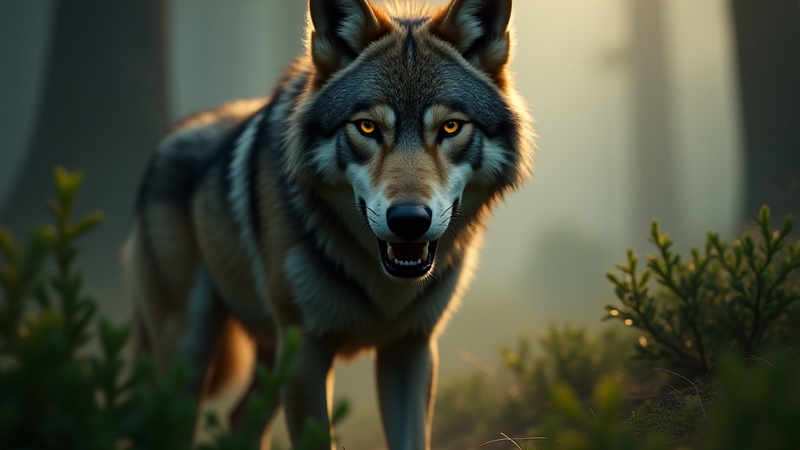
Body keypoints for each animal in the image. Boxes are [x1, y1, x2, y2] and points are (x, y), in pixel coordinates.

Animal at [126, 0, 533, 449]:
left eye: (450, 127)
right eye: (368, 127)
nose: (409, 220)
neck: (384, 287)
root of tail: (164, 143)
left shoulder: (411, 347)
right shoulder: (306, 350)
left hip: (268, 356)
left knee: (238, 418)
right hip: (192, 353)